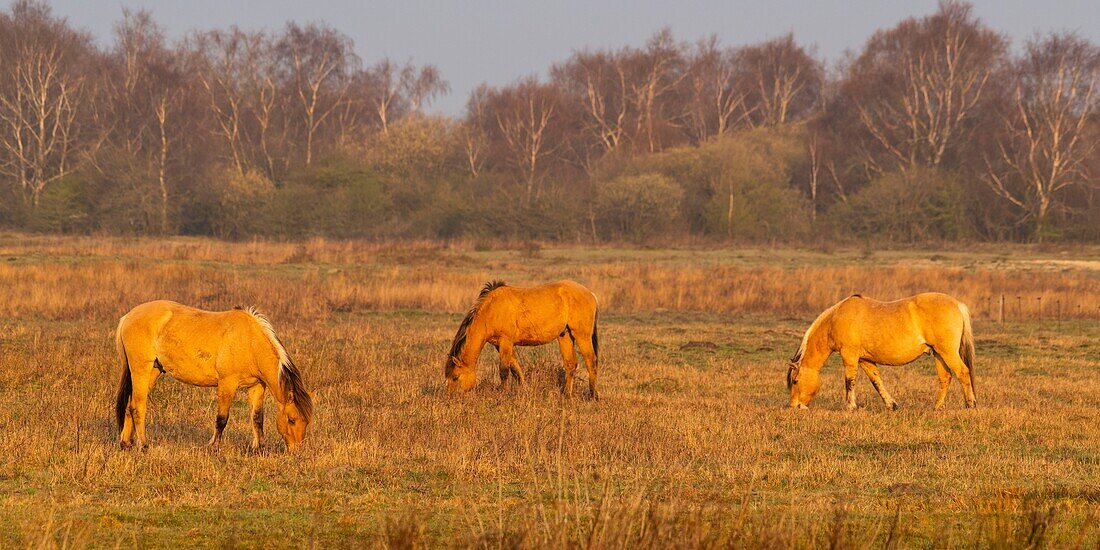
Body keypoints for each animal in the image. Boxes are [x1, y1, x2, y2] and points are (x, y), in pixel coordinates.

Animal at [114, 301, 312, 451]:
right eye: (292, 419)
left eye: (306, 421)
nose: (296, 451)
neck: (250, 341)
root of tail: (128, 317)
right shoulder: (227, 384)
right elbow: (222, 419)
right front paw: (213, 446)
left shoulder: (256, 387)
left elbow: (257, 418)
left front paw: (259, 448)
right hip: (141, 369)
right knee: (138, 407)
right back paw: (143, 445)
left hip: (153, 370)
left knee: (130, 405)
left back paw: (126, 443)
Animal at [444, 281, 602, 398]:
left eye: (455, 377)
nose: (451, 397)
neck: (491, 310)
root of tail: (591, 294)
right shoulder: (501, 345)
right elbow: (516, 369)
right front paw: (524, 390)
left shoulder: (506, 342)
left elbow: (504, 370)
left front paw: (502, 393)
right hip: (565, 336)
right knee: (570, 364)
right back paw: (566, 394)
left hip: (582, 336)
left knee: (591, 362)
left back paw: (593, 395)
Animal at [787, 294, 976, 411]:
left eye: (795, 381)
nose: (793, 406)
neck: (836, 318)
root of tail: (957, 304)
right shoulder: (865, 360)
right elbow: (877, 382)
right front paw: (891, 405)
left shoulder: (849, 356)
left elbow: (849, 381)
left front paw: (850, 407)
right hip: (939, 354)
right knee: (946, 378)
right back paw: (937, 407)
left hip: (948, 352)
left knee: (963, 372)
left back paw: (970, 404)